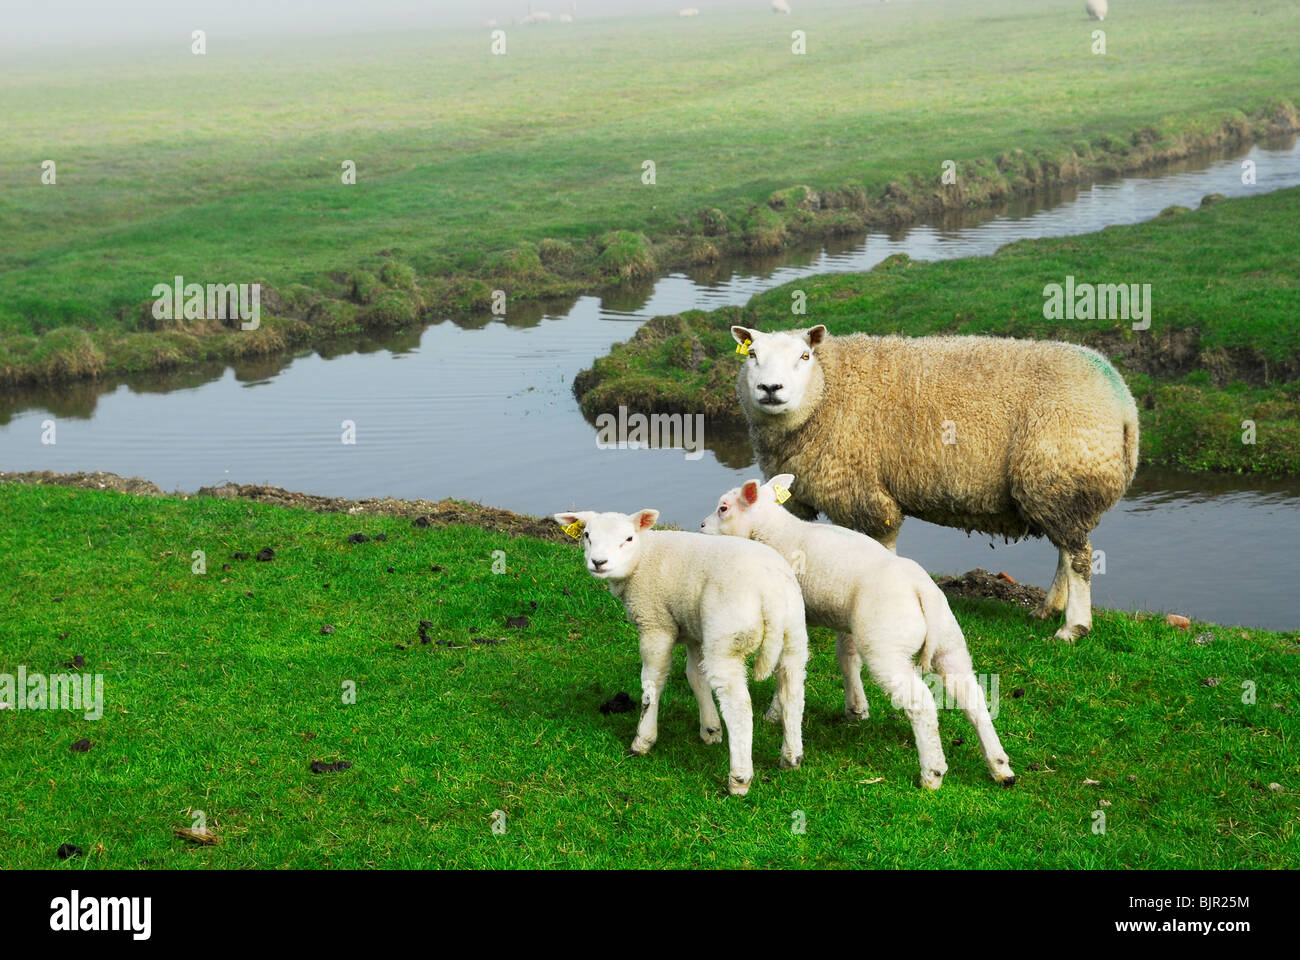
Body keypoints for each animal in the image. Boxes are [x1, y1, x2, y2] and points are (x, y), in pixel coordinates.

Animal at [553, 508, 809, 795]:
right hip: (793, 635)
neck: (643, 557)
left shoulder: (655, 624)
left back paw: (740, 779)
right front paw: (710, 729)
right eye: (586, 535)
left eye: (628, 538)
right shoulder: (694, 631)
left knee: (740, 707)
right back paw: (791, 757)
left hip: (727, 638)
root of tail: (771, 594)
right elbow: (696, 677)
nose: (598, 562)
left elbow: (652, 682)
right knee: (792, 694)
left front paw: (643, 740)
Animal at [702, 475, 1015, 789]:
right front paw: (856, 709)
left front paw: (774, 713)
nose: (702, 526)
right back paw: (1000, 767)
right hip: (948, 642)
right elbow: (847, 657)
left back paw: (933, 773)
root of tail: (921, 590)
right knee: (973, 698)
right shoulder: (846, 620)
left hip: (886, 646)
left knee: (922, 704)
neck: (774, 532)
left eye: (723, 508)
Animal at [731, 325, 1139, 641]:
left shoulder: (866, 496)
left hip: (1056, 475)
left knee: (1079, 556)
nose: (770, 388)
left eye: (804, 356)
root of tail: (1123, 401)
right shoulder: (798, 495)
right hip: (1057, 489)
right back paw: (1047, 609)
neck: (828, 390)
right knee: (1065, 552)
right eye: (752, 355)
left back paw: (1073, 627)